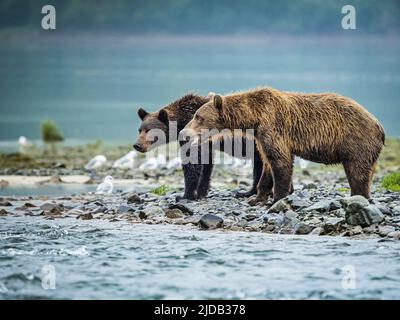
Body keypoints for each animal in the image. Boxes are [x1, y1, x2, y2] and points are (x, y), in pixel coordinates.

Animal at [133, 93, 268, 200]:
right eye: (140, 130)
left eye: (149, 131)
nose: (137, 145)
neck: (181, 121)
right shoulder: (206, 144)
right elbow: (206, 164)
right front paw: (201, 192)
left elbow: (192, 162)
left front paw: (185, 195)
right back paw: (248, 192)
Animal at [183, 87, 386, 202]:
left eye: (198, 116)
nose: (183, 133)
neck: (254, 117)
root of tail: (379, 125)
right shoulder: (260, 136)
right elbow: (267, 164)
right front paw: (258, 197)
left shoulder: (273, 125)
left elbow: (280, 161)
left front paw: (278, 197)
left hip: (356, 140)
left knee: (357, 172)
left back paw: (359, 197)